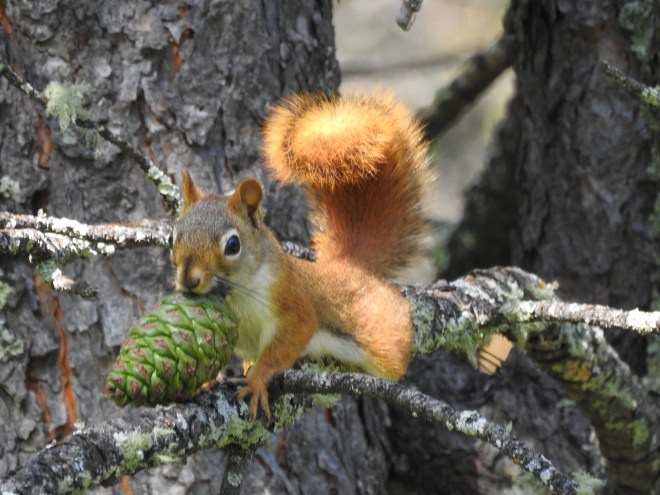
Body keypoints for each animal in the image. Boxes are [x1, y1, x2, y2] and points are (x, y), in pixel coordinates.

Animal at [171, 91, 431, 419]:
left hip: (381, 339)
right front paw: (206, 381)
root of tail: (347, 266)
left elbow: (284, 345)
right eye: (173, 235)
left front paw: (256, 381)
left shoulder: (293, 304)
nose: (188, 279)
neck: (237, 294)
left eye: (232, 245)